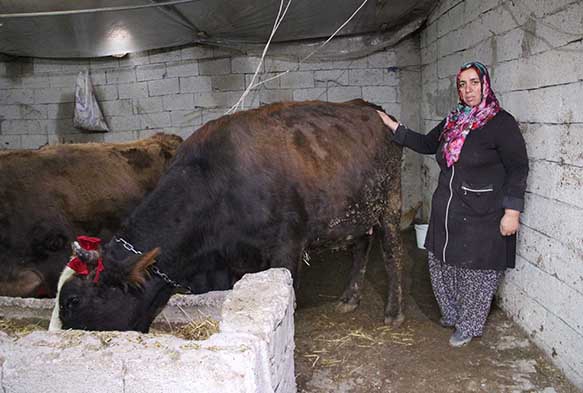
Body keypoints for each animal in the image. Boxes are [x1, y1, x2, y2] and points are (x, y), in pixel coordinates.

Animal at [56, 100, 406, 330]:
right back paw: (349, 298)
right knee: (361, 246)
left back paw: (394, 311)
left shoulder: (286, 245)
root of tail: (371, 108)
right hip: (356, 209)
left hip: (390, 200)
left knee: (392, 253)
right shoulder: (230, 261)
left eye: (72, 301)